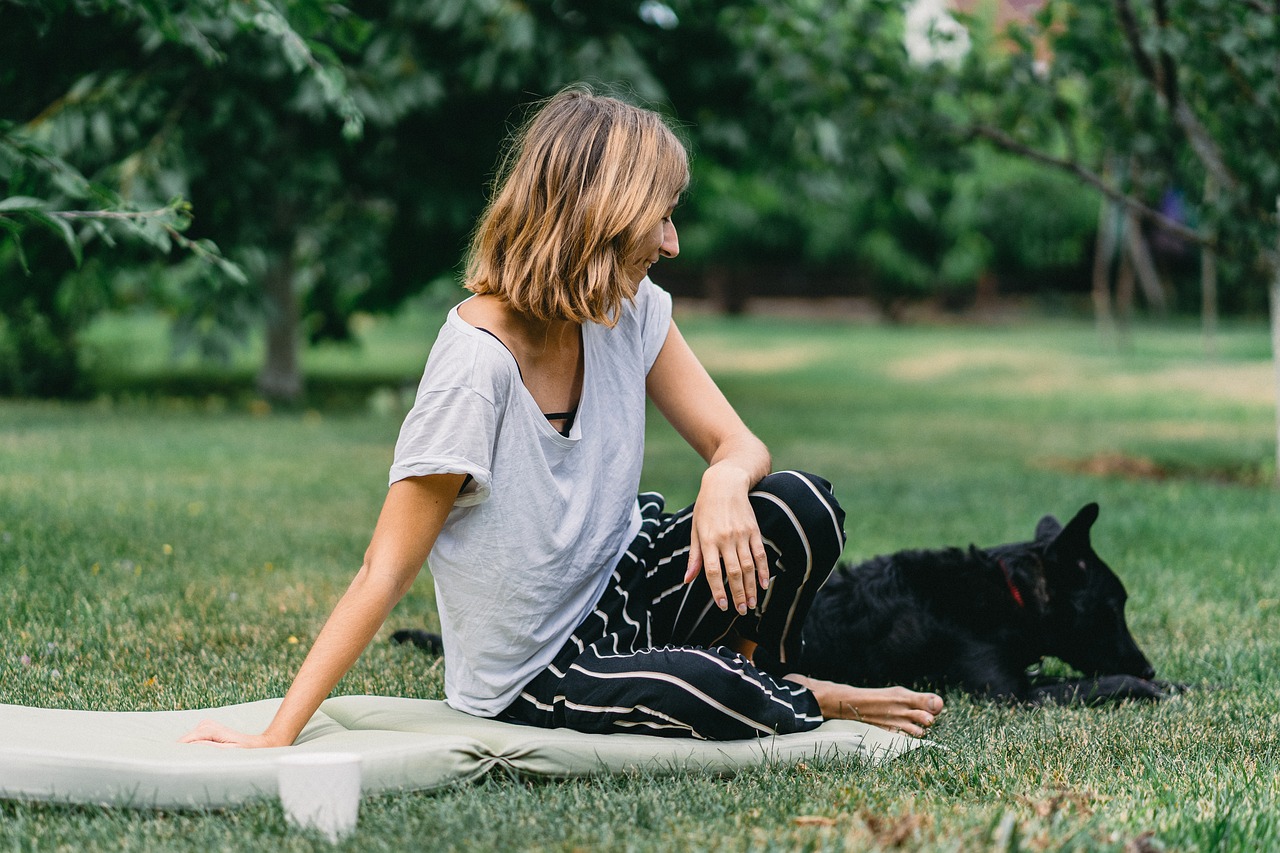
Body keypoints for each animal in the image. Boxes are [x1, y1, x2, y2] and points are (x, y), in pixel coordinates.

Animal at [788, 502, 1177, 701]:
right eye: (1112, 609)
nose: (1149, 669)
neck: (1013, 595)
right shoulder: (1013, 694)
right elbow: (1102, 682)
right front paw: (1148, 687)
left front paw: (1175, 684)